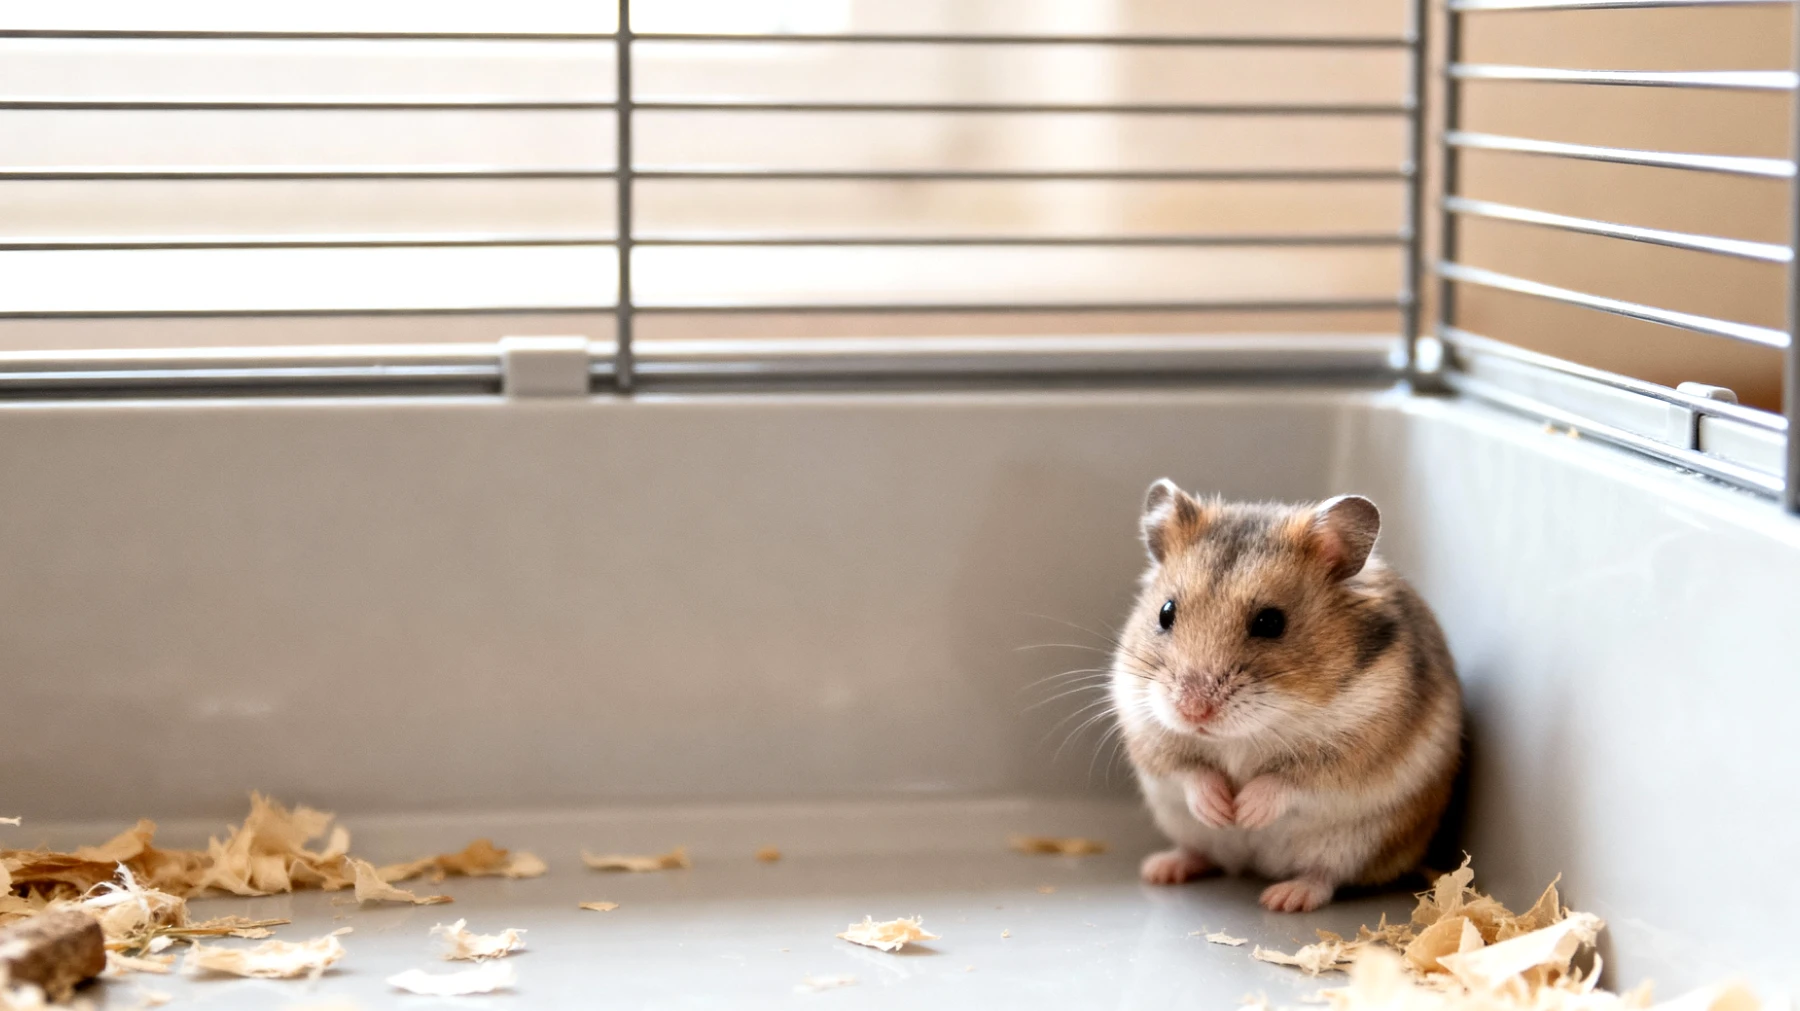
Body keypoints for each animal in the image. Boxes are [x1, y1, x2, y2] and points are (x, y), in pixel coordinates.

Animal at [1110, 480, 1462, 913]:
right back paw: (1161, 869)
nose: (1193, 711)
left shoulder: (1354, 749)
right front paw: (1222, 811)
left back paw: (1283, 898)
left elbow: (1287, 781)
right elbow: (1190, 771)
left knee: (1325, 876)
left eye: (1271, 622)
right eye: (1165, 612)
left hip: (1359, 842)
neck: (1242, 734)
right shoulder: (1146, 729)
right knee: (1203, 853)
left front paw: (1244, 811)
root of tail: (1252, 865)